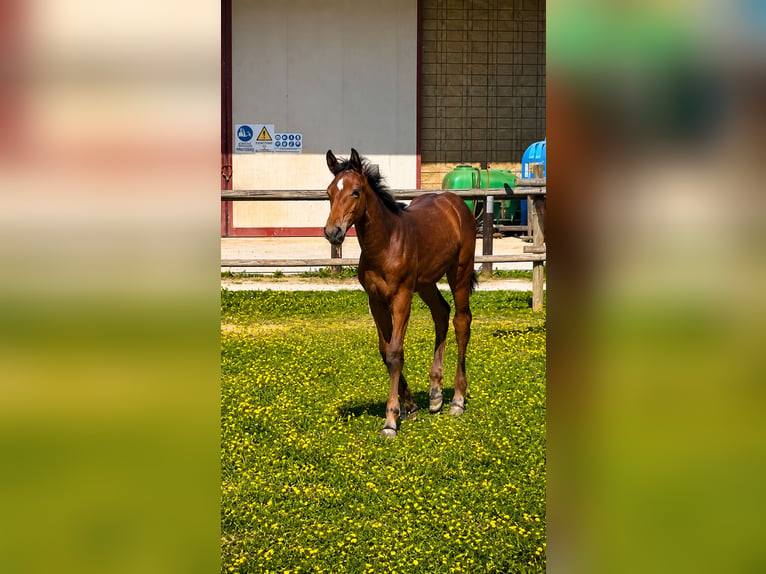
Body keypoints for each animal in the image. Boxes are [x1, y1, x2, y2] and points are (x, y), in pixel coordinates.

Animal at [324, 149, 478, 438]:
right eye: (328, 192)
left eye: (356, 192)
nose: (332, 232)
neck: (386, 243)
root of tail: (455, 202)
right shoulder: (375, 301)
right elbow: (385, 352)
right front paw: (411, 407)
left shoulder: (402, 298)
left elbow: (396, 353)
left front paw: (391, 419)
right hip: (426, 283)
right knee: (441, 313)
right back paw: (435, 394)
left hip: (459, 273)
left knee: (461, 322)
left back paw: (457, 400)